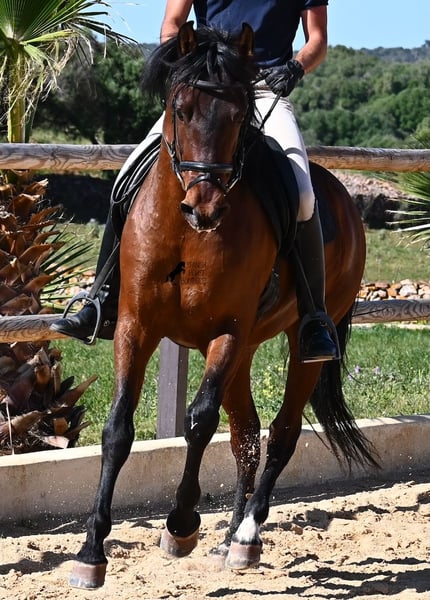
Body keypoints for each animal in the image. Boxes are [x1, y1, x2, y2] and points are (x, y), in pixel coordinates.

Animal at [69, 22, 376, 589]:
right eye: (181, 108)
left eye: (238, 116)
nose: (204, 208)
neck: (186, 236)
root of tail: (343, 195)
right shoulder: (135, 326)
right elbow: (118, 428)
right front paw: (91, 551)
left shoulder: (227, 332)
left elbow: (199, 421)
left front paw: (180, 524)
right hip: (248, 347)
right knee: (247, 433)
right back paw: (230, 538)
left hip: (297, 344)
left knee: (280, 434)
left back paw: (248, 535)